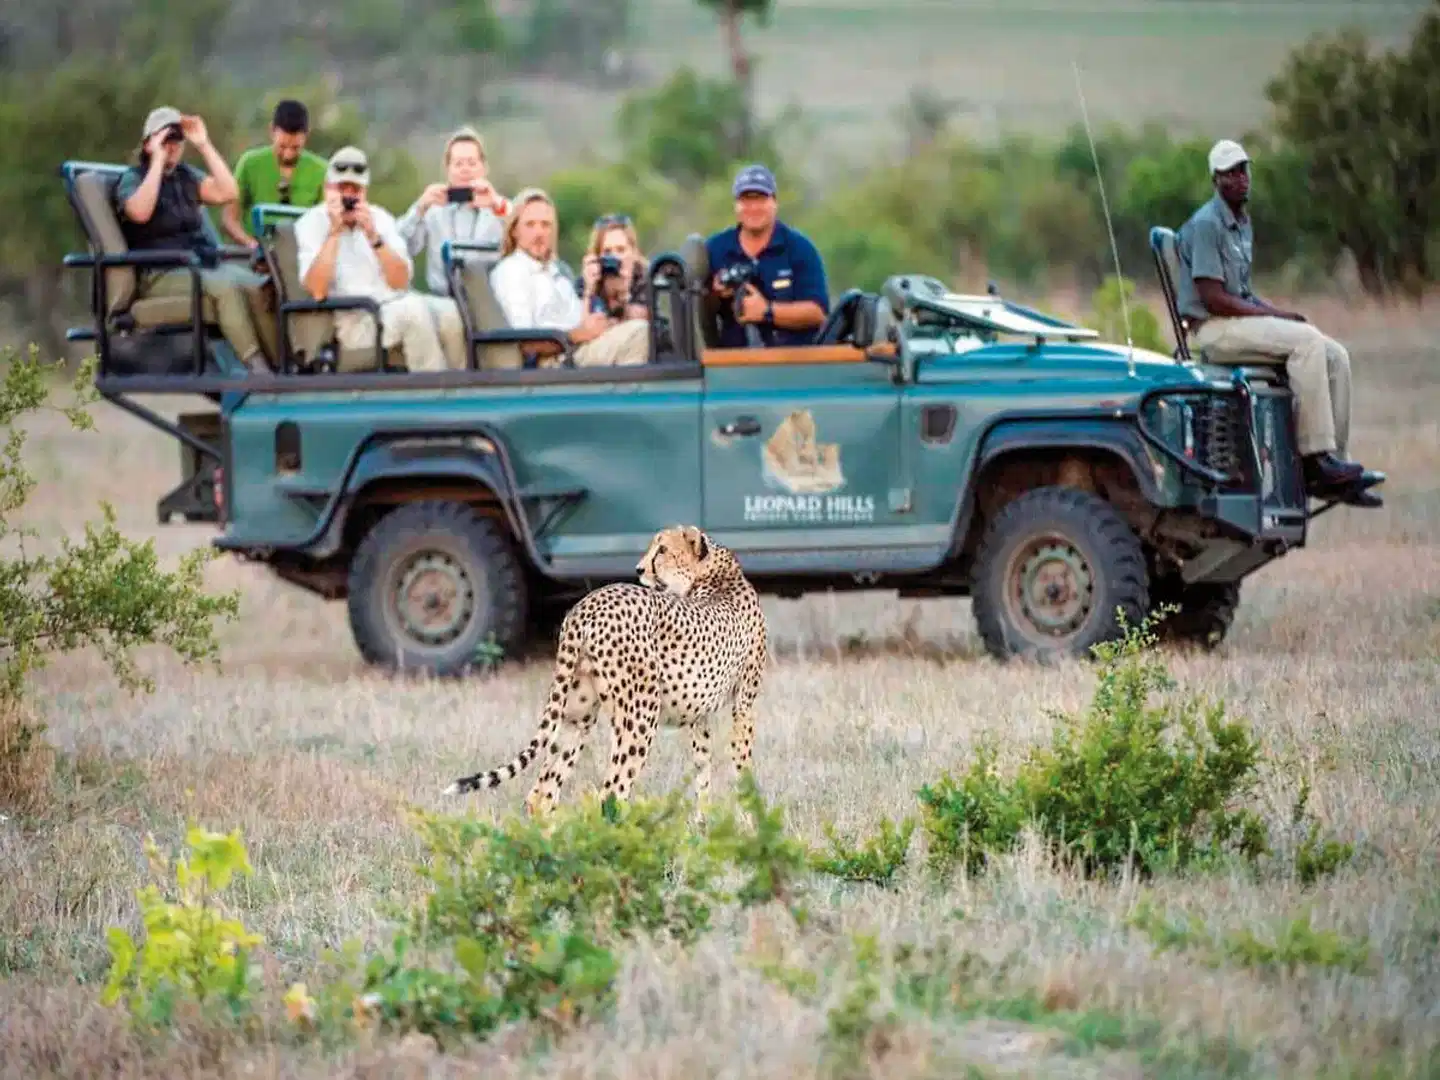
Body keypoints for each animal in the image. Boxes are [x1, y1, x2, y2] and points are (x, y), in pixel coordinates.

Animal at [441, 524, 768, 817]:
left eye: (662, 549)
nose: (639, 569)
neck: (714, 573)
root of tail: (586, 605)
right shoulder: (744, 703)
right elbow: (741, 765)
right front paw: (752, 825)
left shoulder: (700, 716)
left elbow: (703, 773)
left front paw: (703, 830)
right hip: (640, 715)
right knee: (611, 794)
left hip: (577, 714)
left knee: (542, 793)